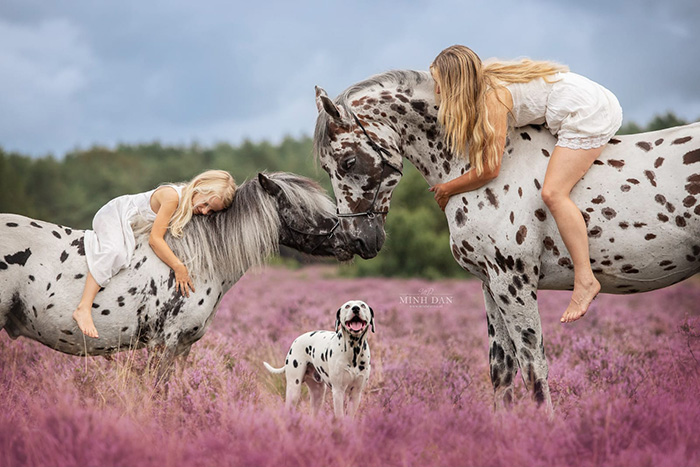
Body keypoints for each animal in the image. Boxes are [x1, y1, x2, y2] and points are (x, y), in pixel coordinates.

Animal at [314, 68, 700, 410]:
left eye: (348, 162)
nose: (356, 240)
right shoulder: (491, 285)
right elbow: (501, 372)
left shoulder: (514, 283)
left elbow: (534, 370)